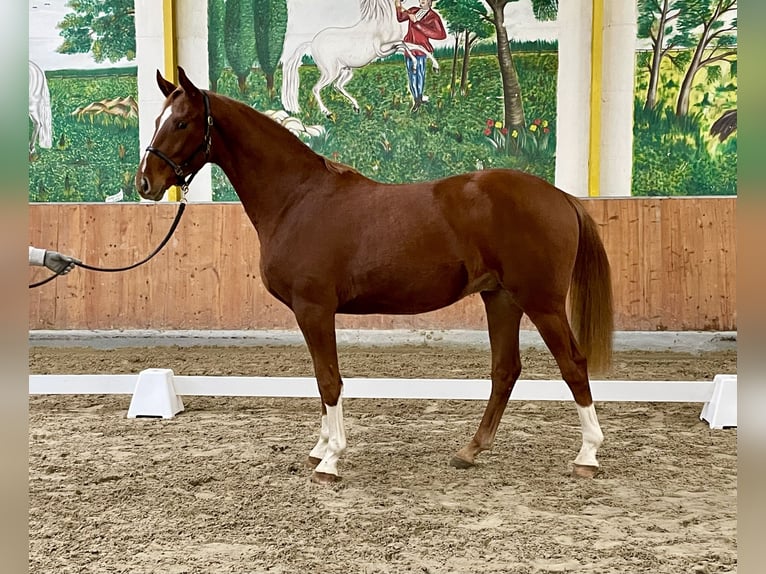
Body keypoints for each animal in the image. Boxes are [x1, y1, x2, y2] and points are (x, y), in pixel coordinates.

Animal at [138, 70, 616, 488]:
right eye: (158, 119)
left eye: (181, 122)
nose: (146, 183)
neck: (298, 198)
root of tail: (561, 196)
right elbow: (321, 379)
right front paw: (320, 447)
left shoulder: (314, 309)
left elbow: (329, 379)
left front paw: (330, 460)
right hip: (500, 299)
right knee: (505, 370)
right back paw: (470, 451)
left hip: (541, 302)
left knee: (572, 365)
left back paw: (588, 455)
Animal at [282, 0, 438, 116]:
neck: (379, 23)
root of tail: (312, 43)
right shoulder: (382, 50)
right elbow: (404, 44)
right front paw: (415, 65)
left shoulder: (388, 47)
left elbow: (413, 45)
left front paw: (435, 66)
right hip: (331, 71)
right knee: (316, 88)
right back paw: (327, 112)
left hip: (346, 70)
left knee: (338, 86)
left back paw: (356, 107)